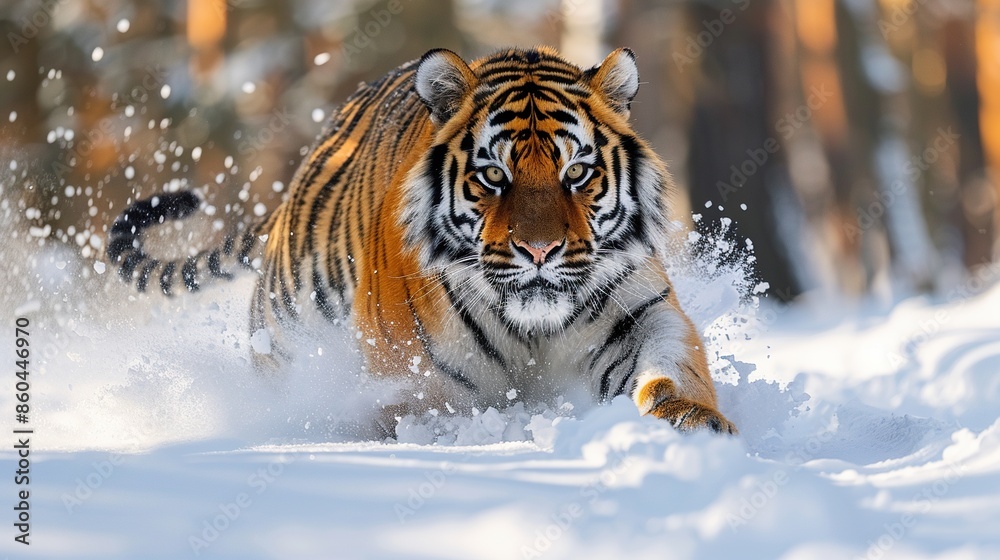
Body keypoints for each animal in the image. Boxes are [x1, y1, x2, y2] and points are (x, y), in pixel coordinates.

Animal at [107, 46, 737, 436]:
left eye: (577, 173)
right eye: (493, 175)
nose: (540, 252)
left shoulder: (642, 314)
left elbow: (669, 370)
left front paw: (691, 422)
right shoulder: (412, 378)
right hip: (285, 335)